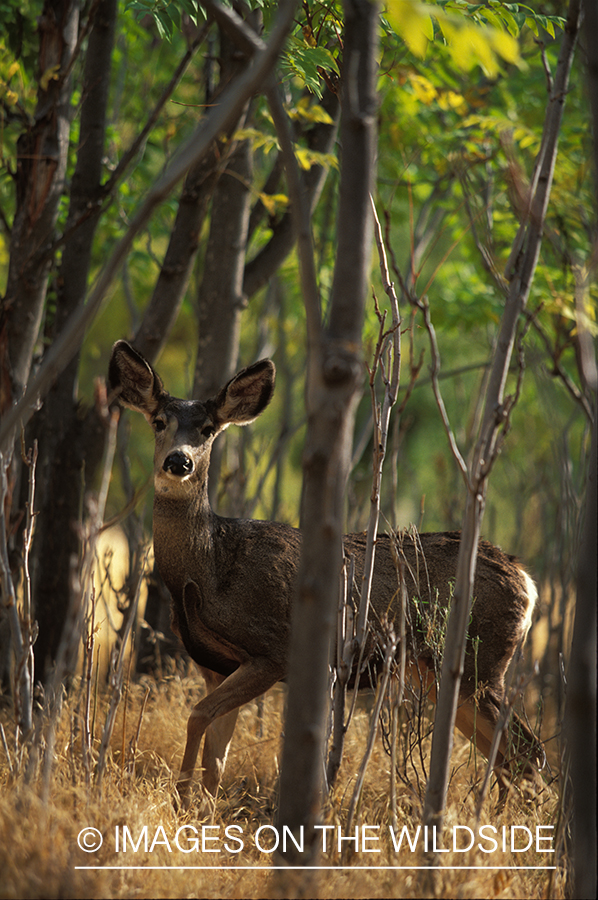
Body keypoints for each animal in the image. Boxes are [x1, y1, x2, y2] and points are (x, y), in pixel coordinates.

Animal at [109, 340, 544, 812]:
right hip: (439, 673)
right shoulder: (216, 666)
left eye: (207, 429)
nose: (179, 461)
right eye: (158, 421)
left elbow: (198, 716)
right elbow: (216, 754)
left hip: (482, 661)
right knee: (506, 754)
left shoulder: (273, 650)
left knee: (528, 750)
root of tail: (527, 581)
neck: (209, 570)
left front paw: (181, 799)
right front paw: (199, 807)